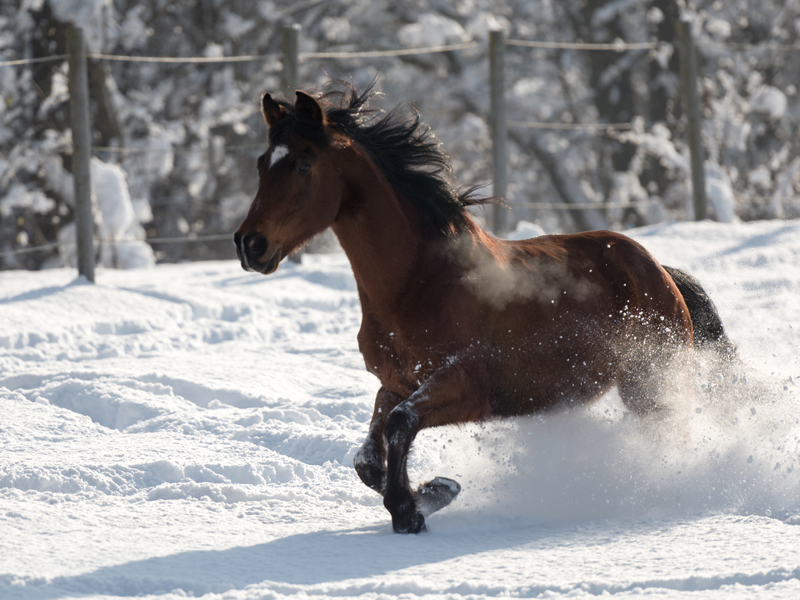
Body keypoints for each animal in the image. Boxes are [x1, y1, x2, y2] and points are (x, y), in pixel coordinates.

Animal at [231, 82, 732, 532]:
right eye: (261, 164)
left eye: (302, 164)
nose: (249, 245)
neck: (420, 283)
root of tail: (660, 271)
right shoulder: (396, 382)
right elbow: (369, 457)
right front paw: (432, 491)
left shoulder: (468, 386)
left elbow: (399, 424)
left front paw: (412, 509)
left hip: (651, 385)